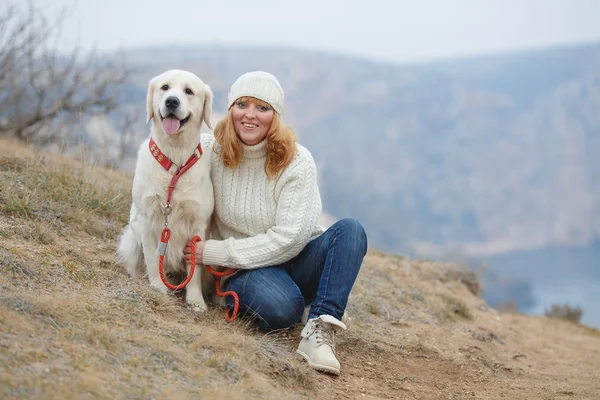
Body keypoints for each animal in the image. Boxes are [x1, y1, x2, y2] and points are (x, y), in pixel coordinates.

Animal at [116, 69, 213, 312]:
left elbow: (194, 271)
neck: (174, 163)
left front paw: (195, 300)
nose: (171, 101)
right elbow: (152, 258)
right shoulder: (148, 218)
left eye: (188, 91)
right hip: (131, 237)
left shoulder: (197, 225)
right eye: (165, 88)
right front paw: (158, 286)